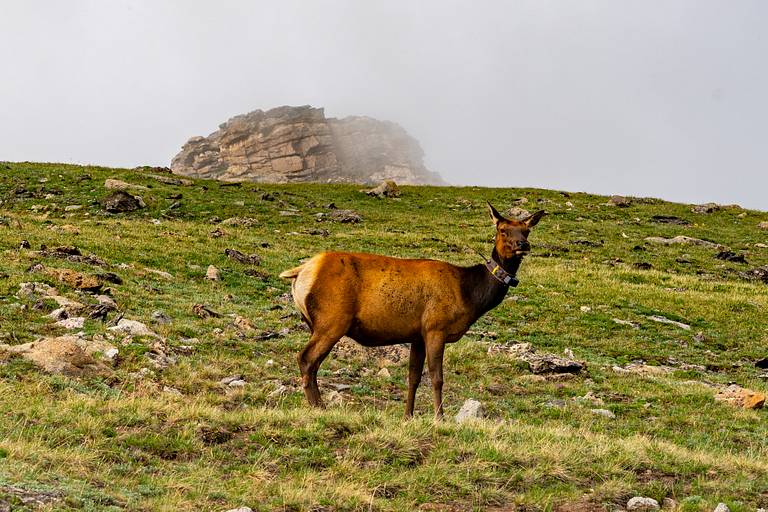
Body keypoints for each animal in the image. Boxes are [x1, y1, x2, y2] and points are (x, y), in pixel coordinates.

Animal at [279, 203, 545, 419]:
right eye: (503, 230)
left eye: (526, 230)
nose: (523, 244)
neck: (470, 293)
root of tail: (301, 271)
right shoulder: (436, 327)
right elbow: (436, 377)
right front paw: (439, 418)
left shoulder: (417, 335)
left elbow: (413, 377)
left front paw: (408, 415)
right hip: (332, 320)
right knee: (306, 358)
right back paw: (318, 406)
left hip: (317, 323)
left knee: (312, 362)